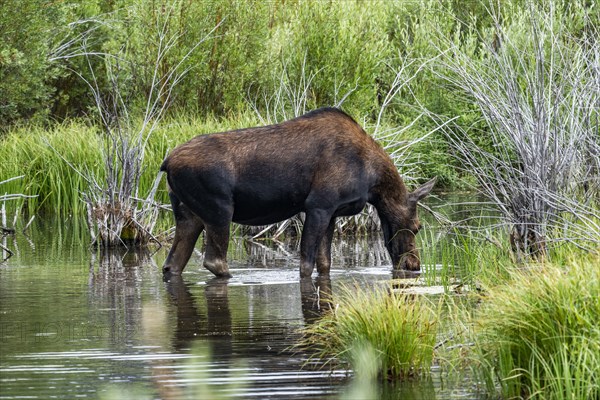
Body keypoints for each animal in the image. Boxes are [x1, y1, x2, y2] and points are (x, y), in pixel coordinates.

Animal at [162, 108, 436, 278]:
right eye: (417, 227)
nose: (414, 265)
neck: (373, 184)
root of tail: (166, 163)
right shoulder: (318, 205)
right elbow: (306, 264)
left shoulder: (333, 212)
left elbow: (324, 264)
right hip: (219, 209)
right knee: (215, 261)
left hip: (188, 214)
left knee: (172, 264)